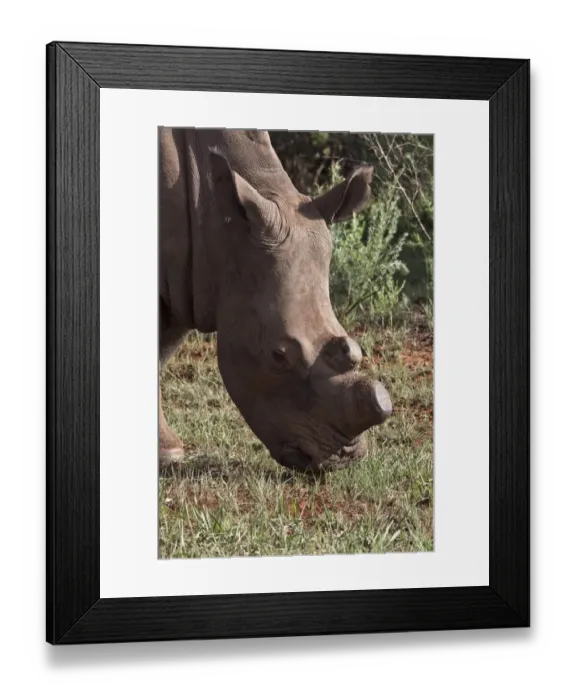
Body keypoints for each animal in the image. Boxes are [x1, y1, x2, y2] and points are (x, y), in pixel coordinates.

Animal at [159, 127, 392, 473]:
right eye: (278, 356)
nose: (340, 460)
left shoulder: (188, 278)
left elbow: (163, 351)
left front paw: (166, 451)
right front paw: (166, 454)